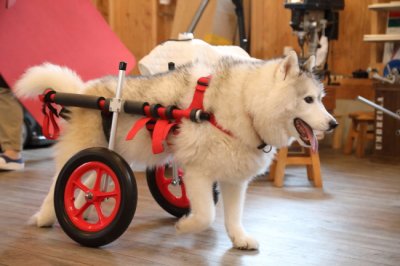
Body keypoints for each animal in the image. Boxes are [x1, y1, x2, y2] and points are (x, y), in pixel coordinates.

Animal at [14, 51, 336, 249]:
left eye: (320, 99)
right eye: (308, 100)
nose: (333, 124)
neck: (247, 106)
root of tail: (85, 91)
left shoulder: (234, 179)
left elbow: (233, 215)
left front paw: (239, 238)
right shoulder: (198, 172)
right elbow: (206, 214)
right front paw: (186, 226)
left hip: (105, 151)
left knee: (89, 181)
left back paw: (84, 211)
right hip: (89, 150)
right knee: (61, 183)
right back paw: (47, 217)